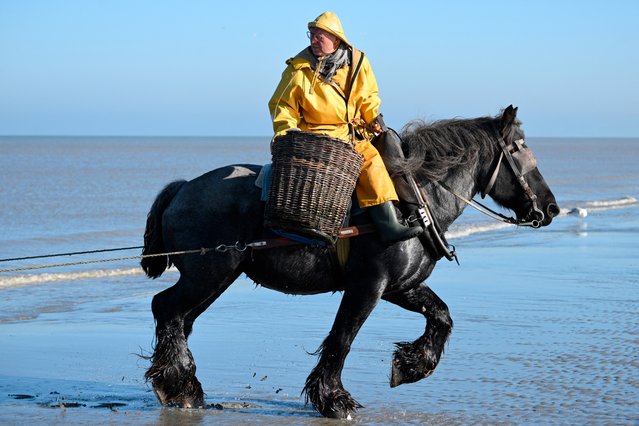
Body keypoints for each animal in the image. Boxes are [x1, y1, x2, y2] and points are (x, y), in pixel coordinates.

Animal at [141, 105, 560, 418]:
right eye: (519, 148)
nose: (551, 207)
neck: (414, 200)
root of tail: (183, 187)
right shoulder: (368, 287)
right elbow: (342, 339)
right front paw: (333, 399)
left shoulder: (401, 287)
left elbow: (441, 316)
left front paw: (411, 365)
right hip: (210, 274)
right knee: (167, 309)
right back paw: (177, 385)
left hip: (216, 279)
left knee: (179, 319)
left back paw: (179, 384)